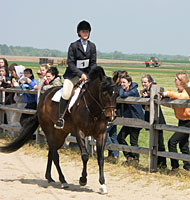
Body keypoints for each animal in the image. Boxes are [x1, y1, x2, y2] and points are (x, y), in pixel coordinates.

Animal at [0, 66, 118, 195]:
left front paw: (102, 185)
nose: (111, 117)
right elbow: (85, 156)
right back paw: (63, 181)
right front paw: (83, 180)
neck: (93, 109)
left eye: (116, 94)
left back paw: (49, 177)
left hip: (61, 134)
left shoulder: (101, 135)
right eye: (104, 93)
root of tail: (43, 97)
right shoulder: (79, 132)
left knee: (51, 151)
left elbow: (100, 158)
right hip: (49, 130)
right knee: (55, 154)